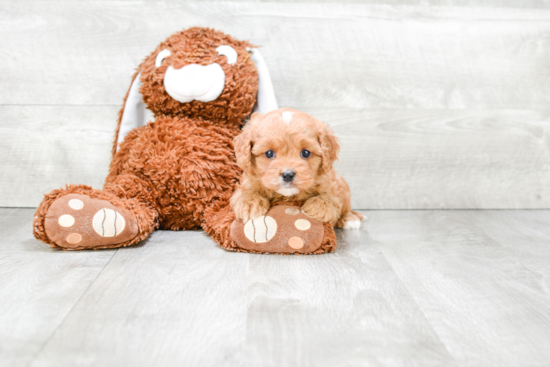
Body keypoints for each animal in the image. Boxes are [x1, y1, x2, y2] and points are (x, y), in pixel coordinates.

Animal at [231, 107, 364, 230]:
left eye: (305, 153)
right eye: (269, 153)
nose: (288, 175)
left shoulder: (331, 183)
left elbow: (331, 197)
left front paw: (319, 207)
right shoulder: (247, 182)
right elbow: (245, 192)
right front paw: (249, 203)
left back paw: (350, 219)